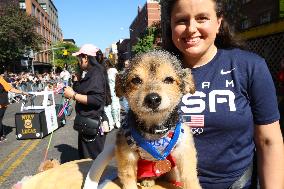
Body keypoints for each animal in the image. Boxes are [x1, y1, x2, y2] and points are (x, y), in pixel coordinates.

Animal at [114, 49, 201, 188]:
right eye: (136, 80)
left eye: (169, 79)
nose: (153, 99)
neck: (156, 130)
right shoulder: (126, 152)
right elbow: (128, 178)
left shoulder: (184, 149)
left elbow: (189, 177)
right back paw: (148, 179)